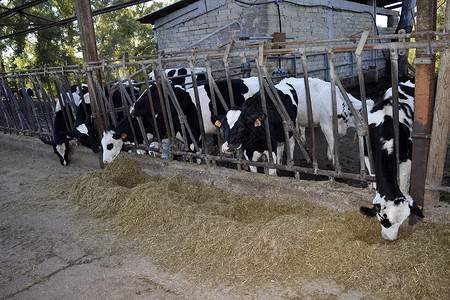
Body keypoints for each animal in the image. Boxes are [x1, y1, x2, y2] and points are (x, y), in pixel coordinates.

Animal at [360, 81, 424, 240]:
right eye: (384, 221)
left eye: (402, 222)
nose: (390, 239)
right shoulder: (368, 155)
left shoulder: (407, 160)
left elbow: (403, 183)